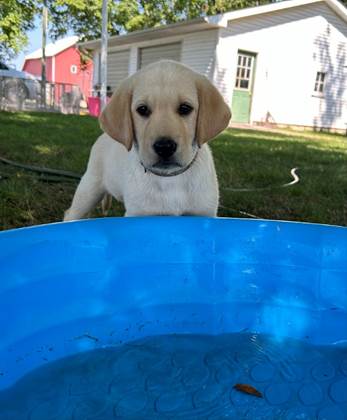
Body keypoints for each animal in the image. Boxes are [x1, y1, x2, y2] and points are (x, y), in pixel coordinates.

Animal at [63, 60, 231, 220]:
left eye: (185, 108)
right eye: (142, 109)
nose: (164, 147)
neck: (170, 178)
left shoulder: (204, 213)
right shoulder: (138, 214)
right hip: (89, 187)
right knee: (70, 213)